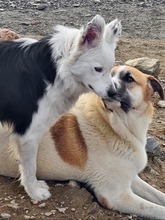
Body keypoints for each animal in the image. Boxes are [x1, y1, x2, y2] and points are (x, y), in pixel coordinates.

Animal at [0, 15, 121, 201]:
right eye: (97, 69)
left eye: (109, 69)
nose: (113, 92)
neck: (57, 70)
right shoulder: (28, 134)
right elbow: (30, 167)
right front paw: (34, 191)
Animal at [0, 65, 165, 220]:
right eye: (106, 74)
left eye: (129, 79)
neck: (117, 127)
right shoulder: (116, 196)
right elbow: (157, 209)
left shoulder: (131, 177)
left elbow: (158, 195)